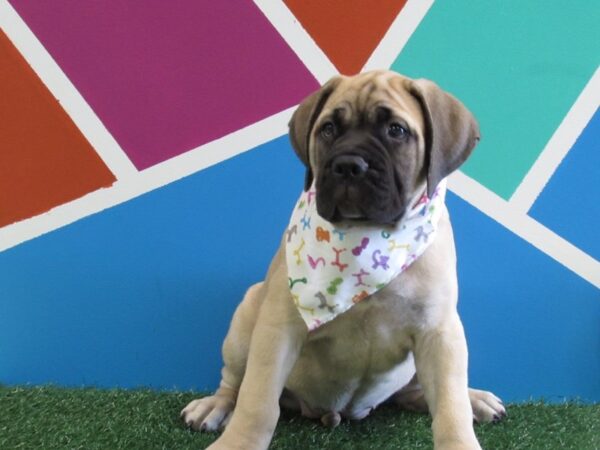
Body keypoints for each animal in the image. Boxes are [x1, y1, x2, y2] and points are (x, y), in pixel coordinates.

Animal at [182, 70, 506, 450]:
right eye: (328, 129)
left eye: (396, 130)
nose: (349, 165)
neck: (368, 235)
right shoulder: (279, 327)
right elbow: (258, 400)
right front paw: (239, 442)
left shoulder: (439, 331)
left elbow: (450, 408)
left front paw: (461, 429)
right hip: (245, 319)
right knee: (234, 381)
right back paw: (214, 405)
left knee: (423, 393)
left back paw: (474, 398)